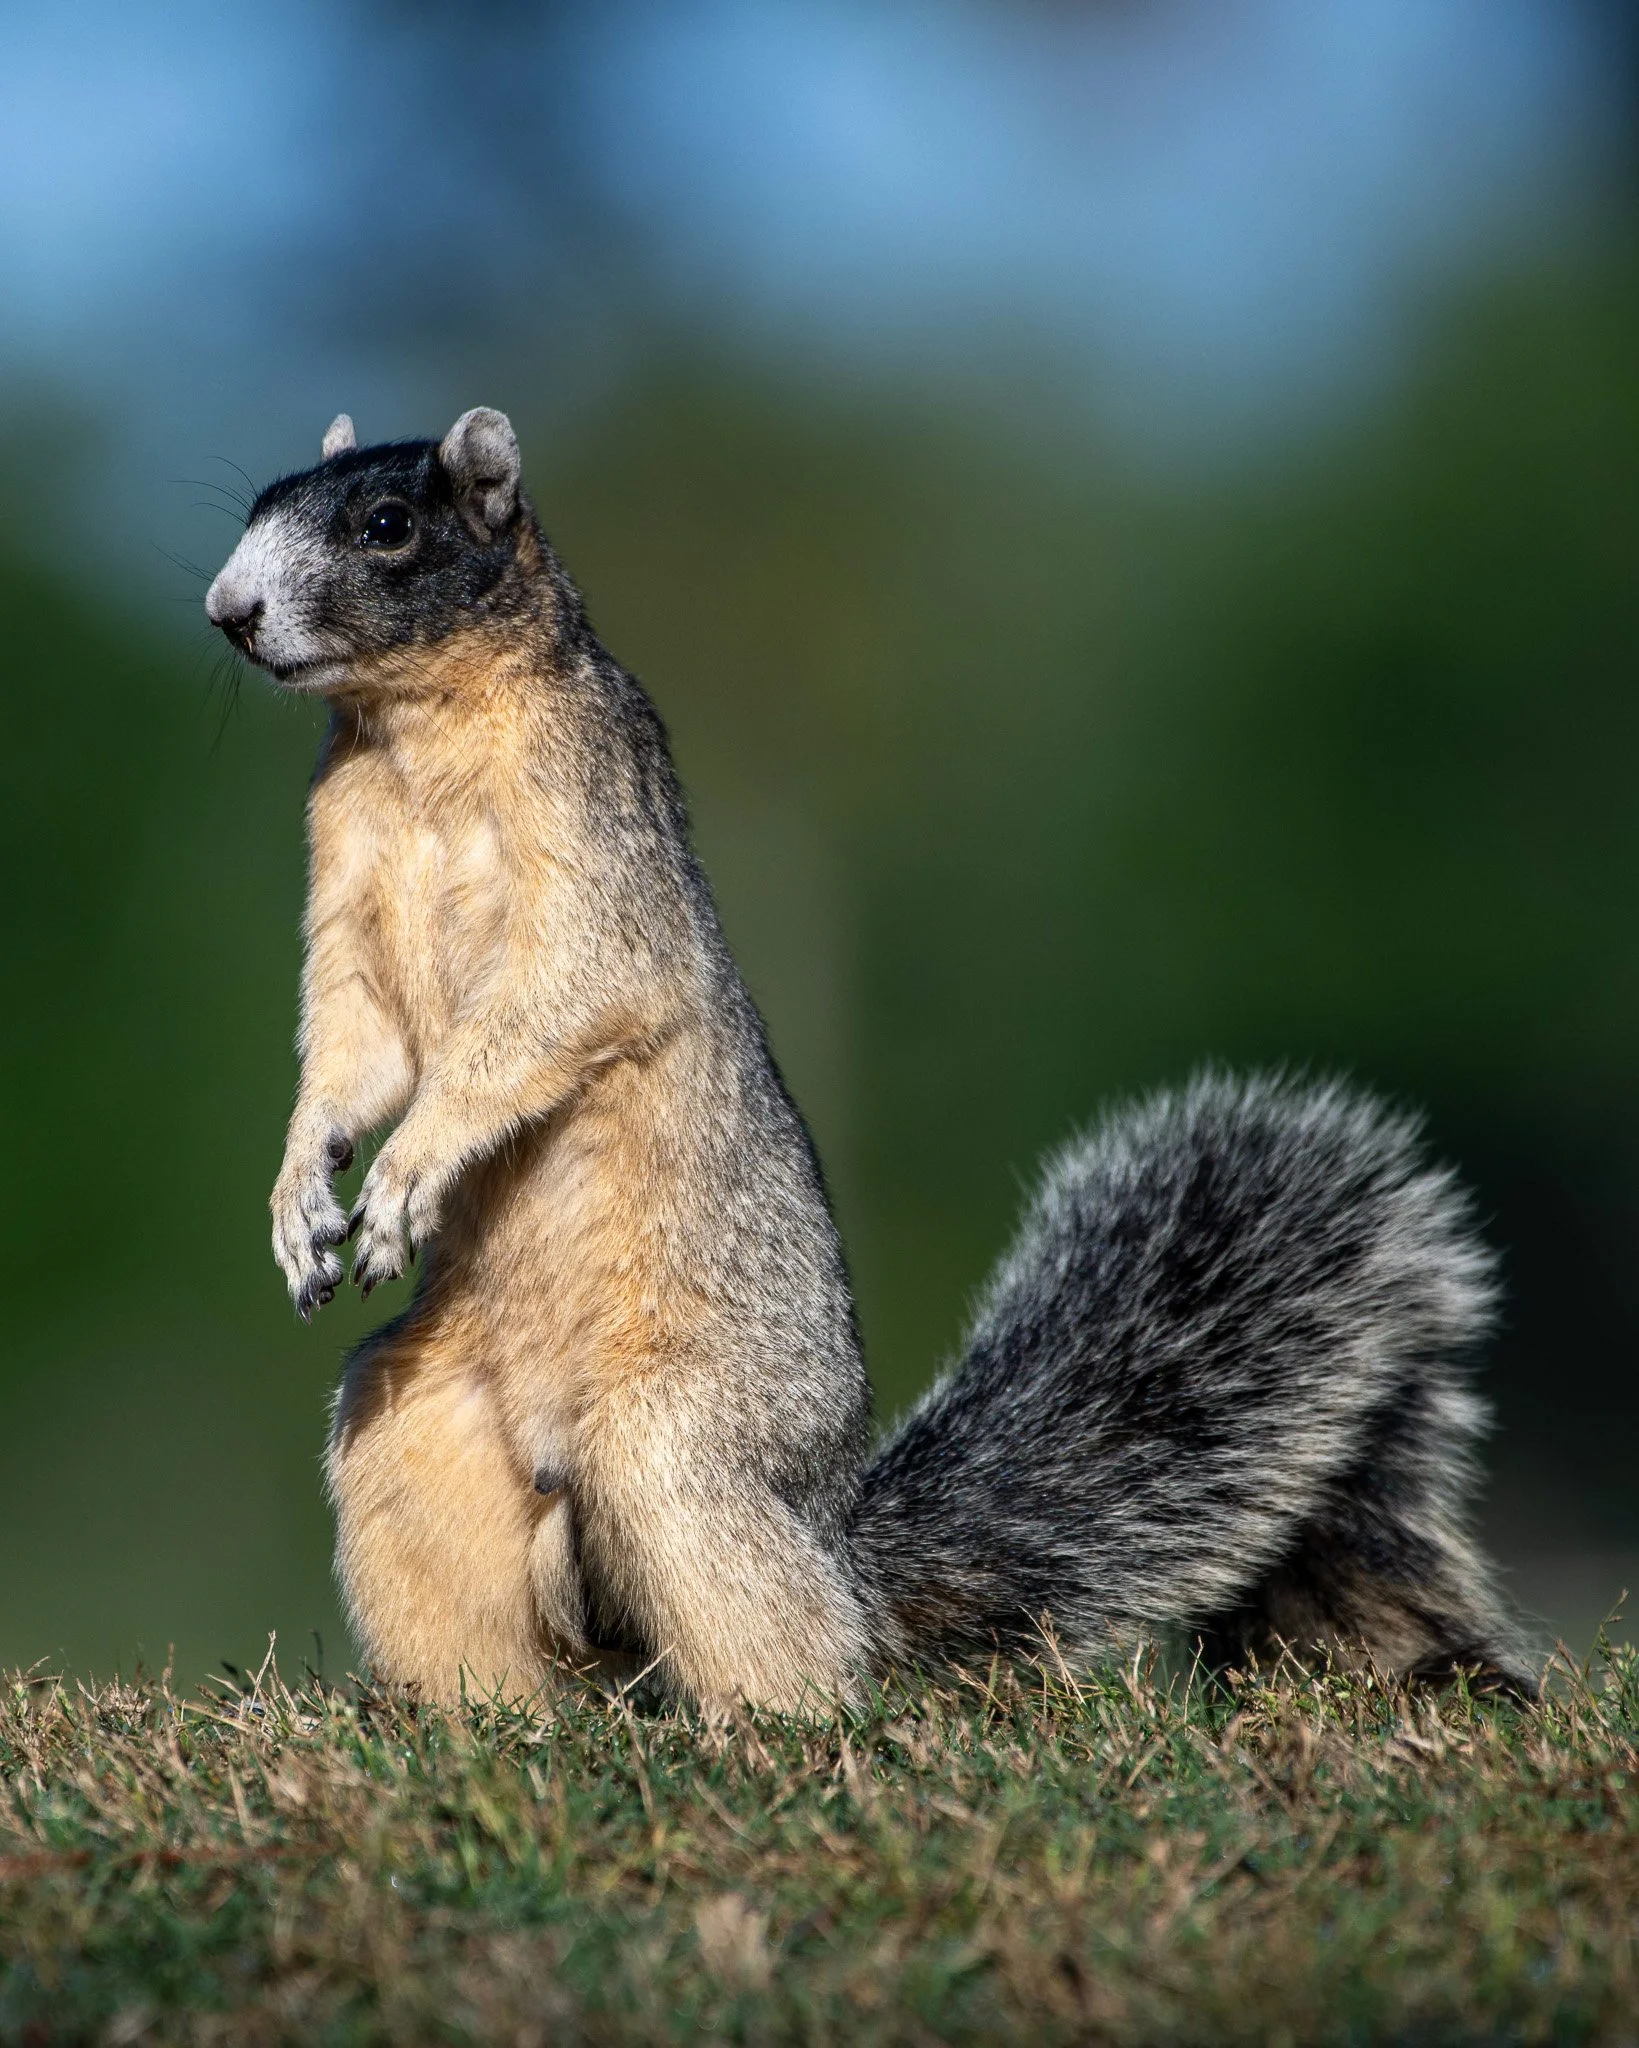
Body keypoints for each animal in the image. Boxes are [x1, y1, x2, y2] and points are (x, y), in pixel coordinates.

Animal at [204, 406, 1534, 1709]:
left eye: (388, 524)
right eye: (257, 505)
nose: (228, 609)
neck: (412, 737)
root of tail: (844, 1545)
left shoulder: (588, 828)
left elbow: (557, 996)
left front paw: (404, 1174)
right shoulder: (344, 869)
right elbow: (355, 1044)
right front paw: (301, 1190)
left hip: (674, 1443)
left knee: (796, 1638)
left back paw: (768, 1729)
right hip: (410, 1435)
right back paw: (468, 1719)